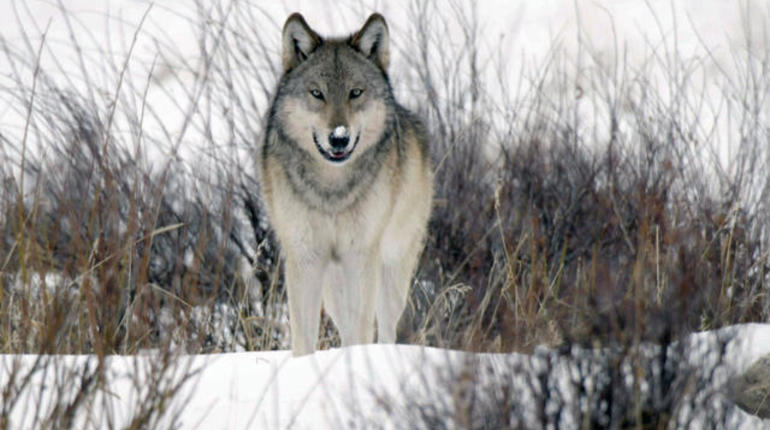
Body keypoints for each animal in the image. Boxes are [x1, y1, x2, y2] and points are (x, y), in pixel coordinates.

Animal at [260, 13, 433, 356]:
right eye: (317, 94)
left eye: (355, 93)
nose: (338, 137)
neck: (332, 188)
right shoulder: (304, 256)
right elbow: (304, 337)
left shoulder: (360, 254)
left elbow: (361, 328)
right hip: (332, 284)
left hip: (392, 269)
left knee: (386, 326)